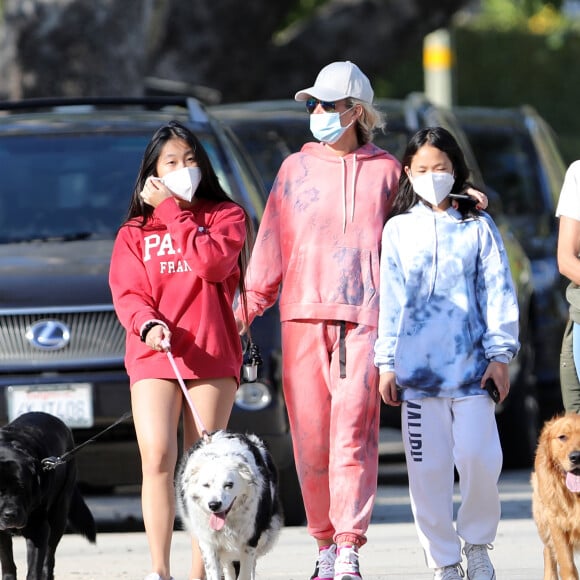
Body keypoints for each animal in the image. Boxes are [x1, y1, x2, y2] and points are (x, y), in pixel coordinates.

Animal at [0, 412, 96, 580]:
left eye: (23, 489)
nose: (10, 514)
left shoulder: (39, 528)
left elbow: (34, 567)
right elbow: (7, 562)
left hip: (59, 513)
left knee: (49, 556)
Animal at [176, 430, 282, 580]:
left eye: (229, 485)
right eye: (206, 485)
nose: (214, 505)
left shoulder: (250, 540)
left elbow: (245, 573)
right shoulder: (208, 541)